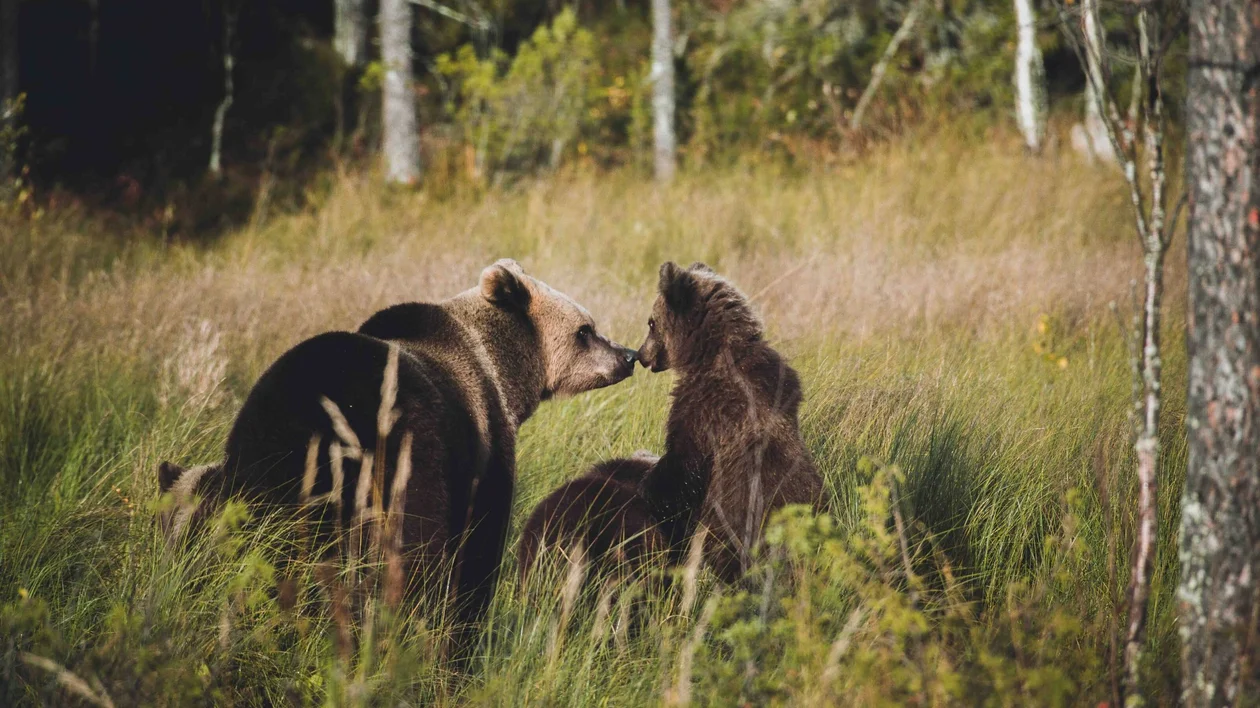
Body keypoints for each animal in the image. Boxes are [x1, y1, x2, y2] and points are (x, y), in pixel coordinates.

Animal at [157, 259, 638, 656]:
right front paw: (463, 637)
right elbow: (478, 550)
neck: (503, 371)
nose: (628, 356)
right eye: (586, 330)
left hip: (269, 471)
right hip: (401, 461)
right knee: (413, 564)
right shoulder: (479, 451)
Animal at [635, 262, 823, 582]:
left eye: (651, 323)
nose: (641, 355)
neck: (713, 352)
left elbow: (681, 468)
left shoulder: (703, 412)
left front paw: (647, 480)